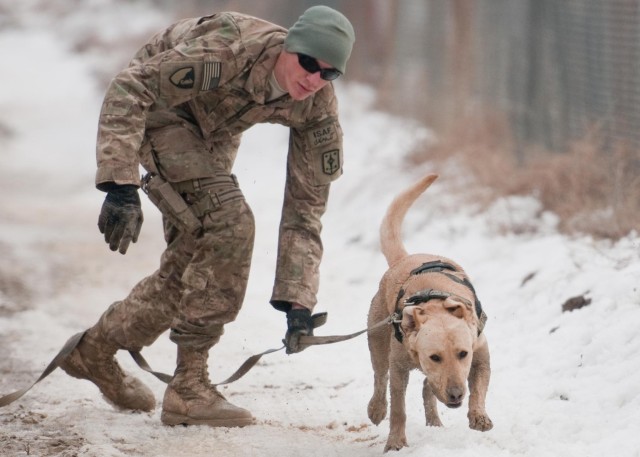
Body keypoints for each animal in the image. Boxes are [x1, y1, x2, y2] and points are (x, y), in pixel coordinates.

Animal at [368, 173, 492, 450]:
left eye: (463, 354)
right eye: (434, 357)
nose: (456, 394)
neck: (436, 304)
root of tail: (404, 258)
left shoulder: (479, 354)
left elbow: (479, 389)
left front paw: (478, 416)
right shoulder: (399, 368)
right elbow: (398, 408)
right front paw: (395, 443)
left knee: (427, 385)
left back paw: (434, 420)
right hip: (376, 338)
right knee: (380, 377)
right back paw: (376, 409)